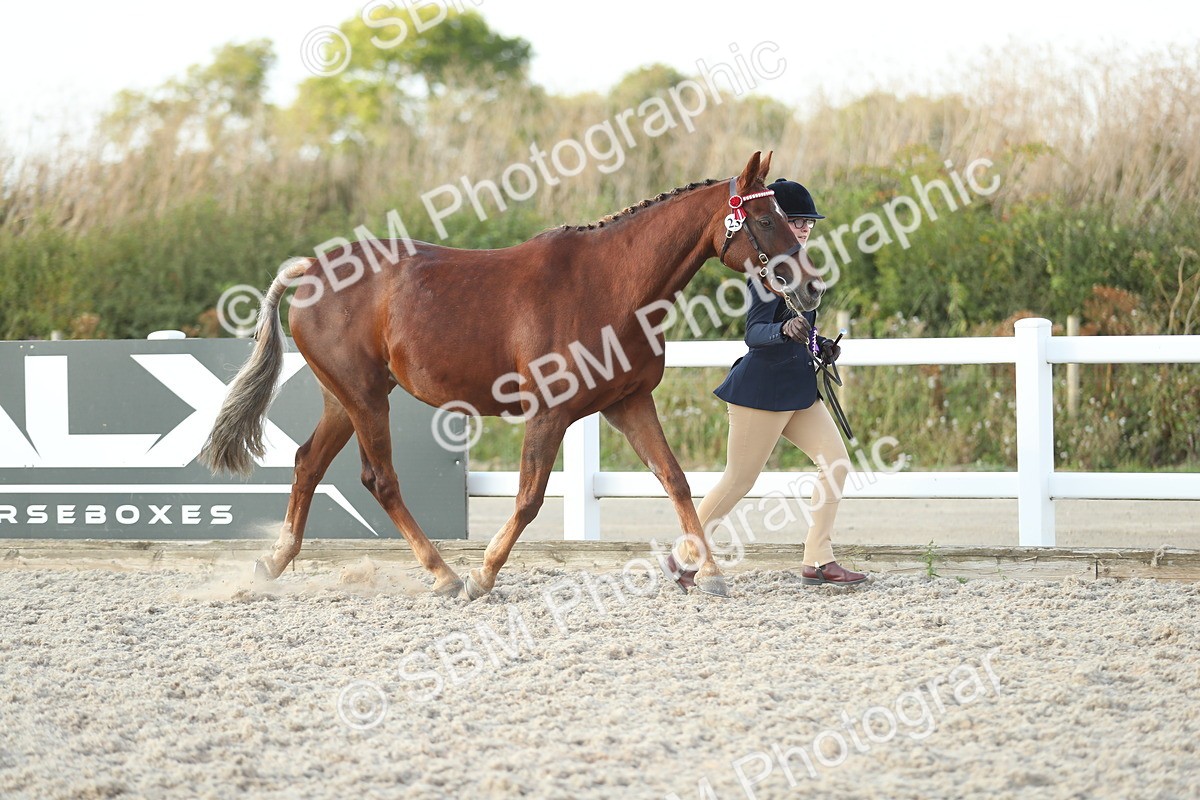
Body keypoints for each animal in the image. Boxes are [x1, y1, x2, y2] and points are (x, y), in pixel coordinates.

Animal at [198, 150, 824, 599]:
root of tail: (310, 271)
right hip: (366, 399)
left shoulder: (627, 404)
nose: (813, 288)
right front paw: (484, 576)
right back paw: (445, 575)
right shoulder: (549, 412)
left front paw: (711, 573)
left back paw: (274, 563)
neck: (611, 286)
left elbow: (675, 479)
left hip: (344, 399)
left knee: (307, 463)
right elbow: (529, 497)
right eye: (764, 218)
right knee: (380, 480)